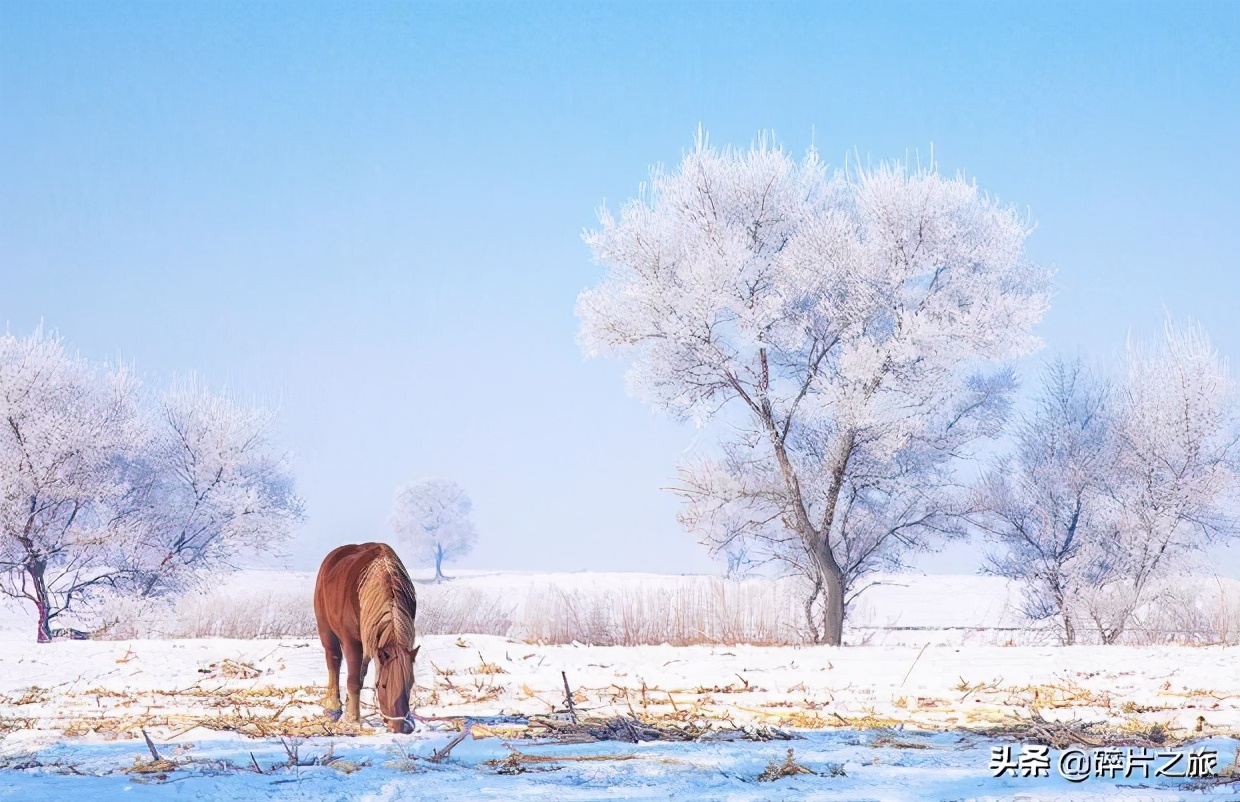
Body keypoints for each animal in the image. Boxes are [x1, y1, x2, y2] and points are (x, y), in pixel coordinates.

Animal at [314, 545, 421, 733]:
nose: (402, 727)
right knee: (333, 660)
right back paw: (333, 709)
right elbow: (353, 680)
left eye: (410, 683)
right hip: (326, 630)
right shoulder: (352, 642)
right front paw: (353, 720)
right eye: (383, 685)